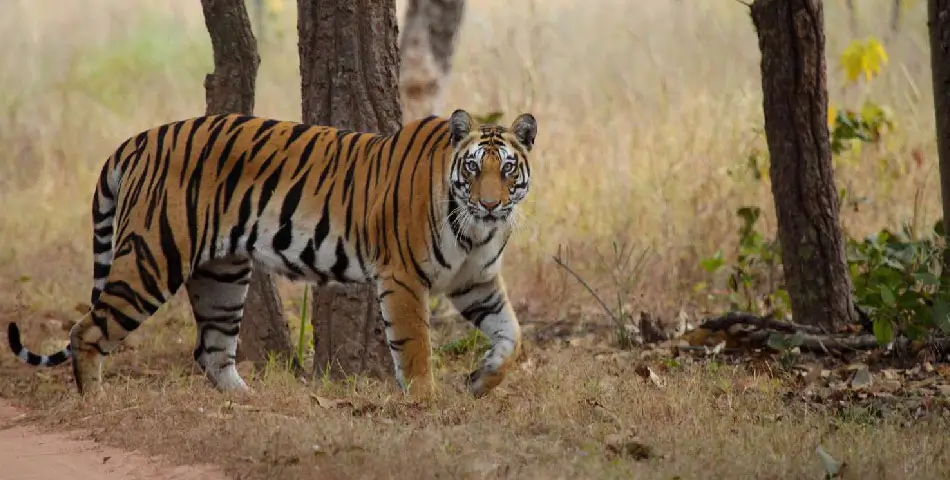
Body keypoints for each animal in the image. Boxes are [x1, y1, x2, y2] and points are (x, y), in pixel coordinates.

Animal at [6, 109, 538, 400]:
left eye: (508, 170)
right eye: (473, 169)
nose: (491, 204)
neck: (476, 232)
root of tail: (139, 139)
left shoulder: (476, 281)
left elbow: (512, 335)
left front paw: (480, 381)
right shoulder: (403, 277)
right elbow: (415, 347)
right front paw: (426, 402)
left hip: (221, 275)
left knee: (211, 350)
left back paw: (249, 401)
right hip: (151, 258)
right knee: (87, 330)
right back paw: (95, 402)